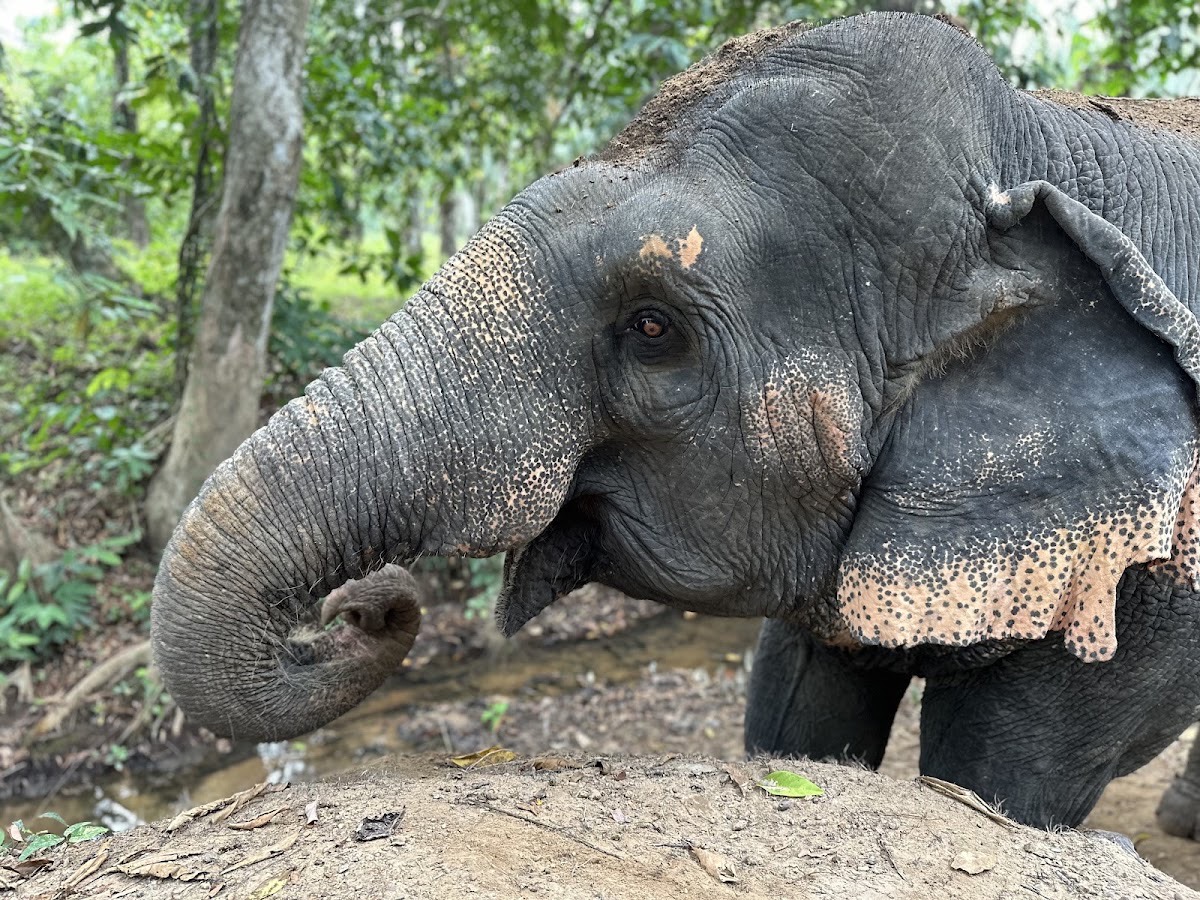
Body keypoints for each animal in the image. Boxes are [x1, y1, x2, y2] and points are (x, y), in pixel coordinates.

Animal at [151, 12, 1200, 832]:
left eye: (653, 329)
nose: (366, 604)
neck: (1033, 139)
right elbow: (797, 703)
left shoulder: (1153, 582)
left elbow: (1003, 773)